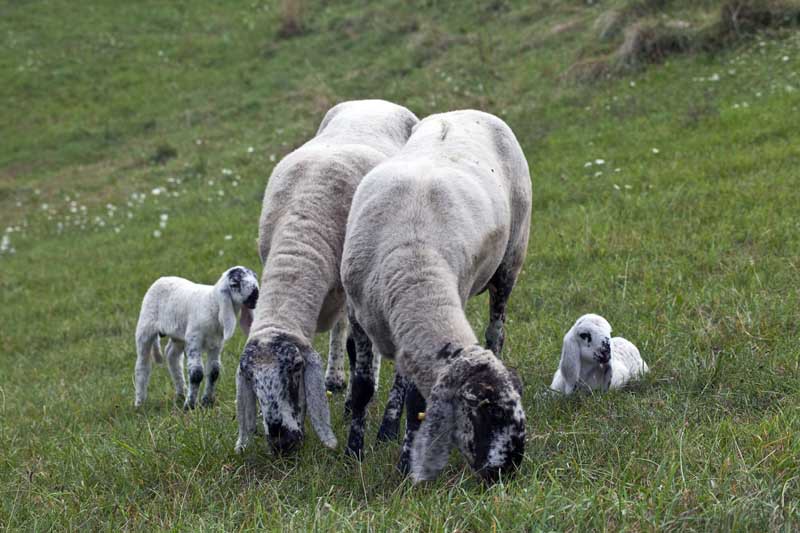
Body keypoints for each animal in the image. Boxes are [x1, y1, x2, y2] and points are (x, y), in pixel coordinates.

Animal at [134, 264, 260, 408]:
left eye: (255, 277)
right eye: (234, 283)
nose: (255, 294)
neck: (213, 303)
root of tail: (162, 278)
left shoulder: (216, 344)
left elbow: (214, 372)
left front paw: (207, 402)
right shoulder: (194, 341)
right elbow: (196, 374)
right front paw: (190, 406)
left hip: (180, 334)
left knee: (172, 356)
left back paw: (181, 393)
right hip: (145, 327)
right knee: (142, 364)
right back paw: (139, 402)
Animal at [234, 98, 418, 454]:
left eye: (295, 369)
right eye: (250, 379)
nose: (282, 442)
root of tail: (374, 101)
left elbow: (357, 350)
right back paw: (335, 377)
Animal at [340, 110, 532, 484]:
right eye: (486, 415)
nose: (506, 473)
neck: (412, 258)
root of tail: (465, 112)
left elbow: (417, 403)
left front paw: (407, 467)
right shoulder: (357, 314)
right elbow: (362, 390)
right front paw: (353, 454)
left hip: (511, 260)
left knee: (496, 331)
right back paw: (385, 428)